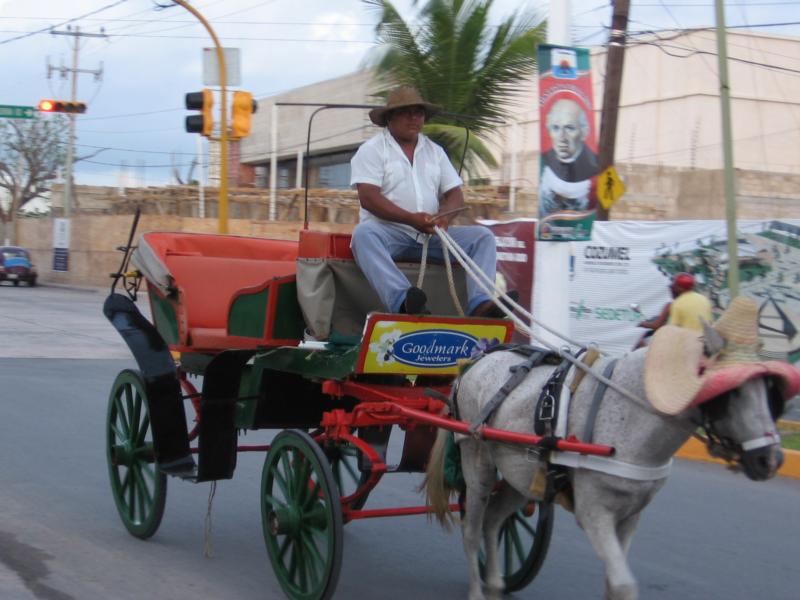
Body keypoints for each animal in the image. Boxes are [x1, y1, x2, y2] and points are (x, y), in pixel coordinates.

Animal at [424, 304, 792, 600]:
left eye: (769, 390)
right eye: (731, 392)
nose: (770, 460)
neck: (632, 413)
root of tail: (478, 359)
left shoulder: (631, 515)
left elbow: (614, 584)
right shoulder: (594, 513)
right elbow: (624, 584)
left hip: (522, 476)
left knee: (495, 520)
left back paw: (496, 584)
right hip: (478, 462)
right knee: (472, 528)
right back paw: (478, 589)